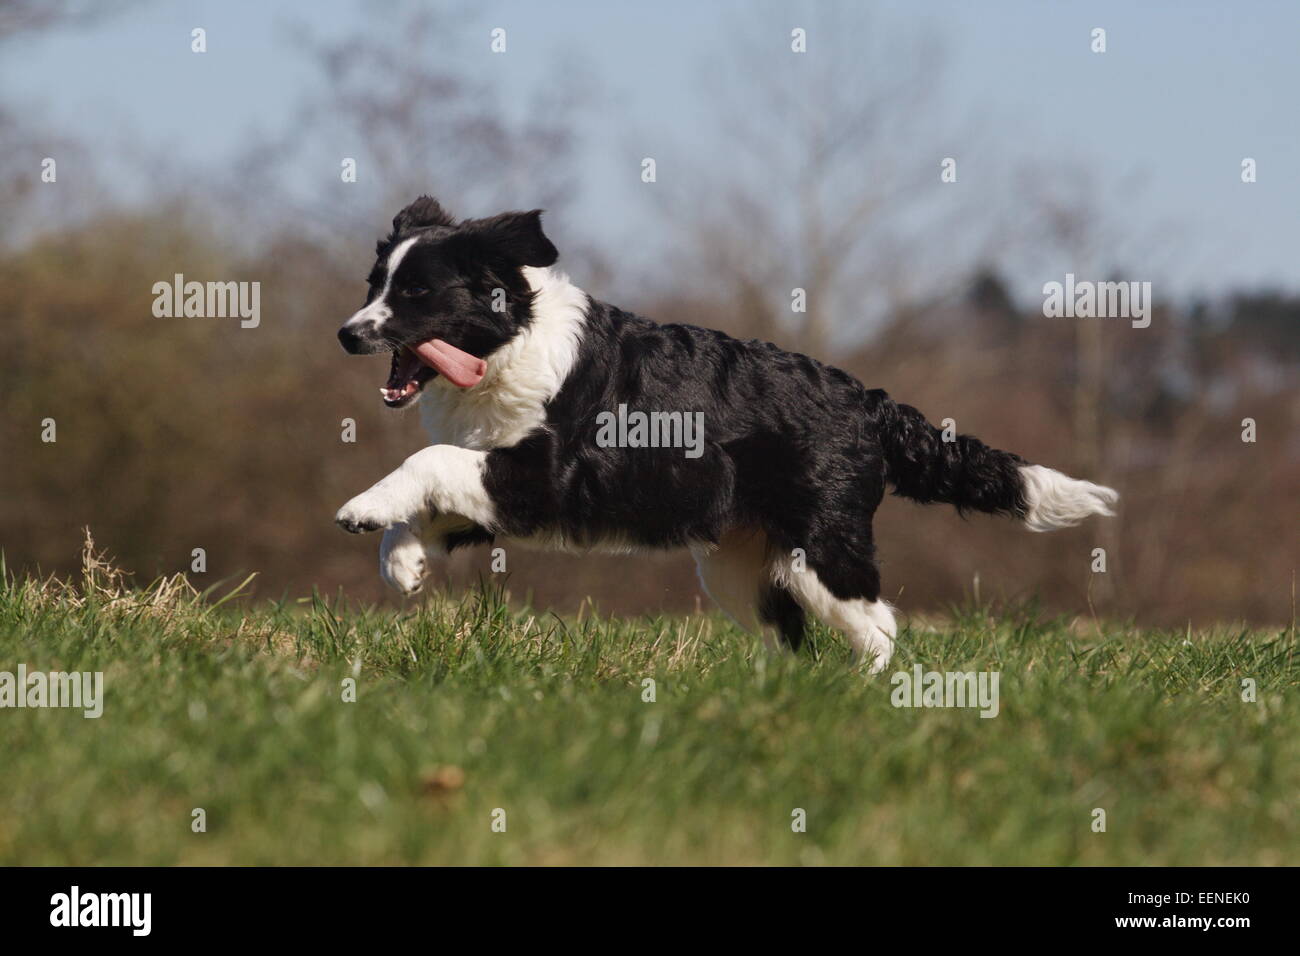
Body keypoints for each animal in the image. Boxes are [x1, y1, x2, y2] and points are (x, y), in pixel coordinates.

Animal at [335, 195, 1118, 671]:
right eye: (373, 284)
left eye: (416, 293)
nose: (347, 335)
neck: (510, 342)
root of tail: (868, 401)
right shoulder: (499, 477)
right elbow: (438, 494)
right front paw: (402, 561)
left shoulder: (544, 473)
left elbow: (429, 459)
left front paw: (362, 510)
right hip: (740, 565)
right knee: (793, 638)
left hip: (821, 548)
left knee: (879, 626)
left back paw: (871, 695)